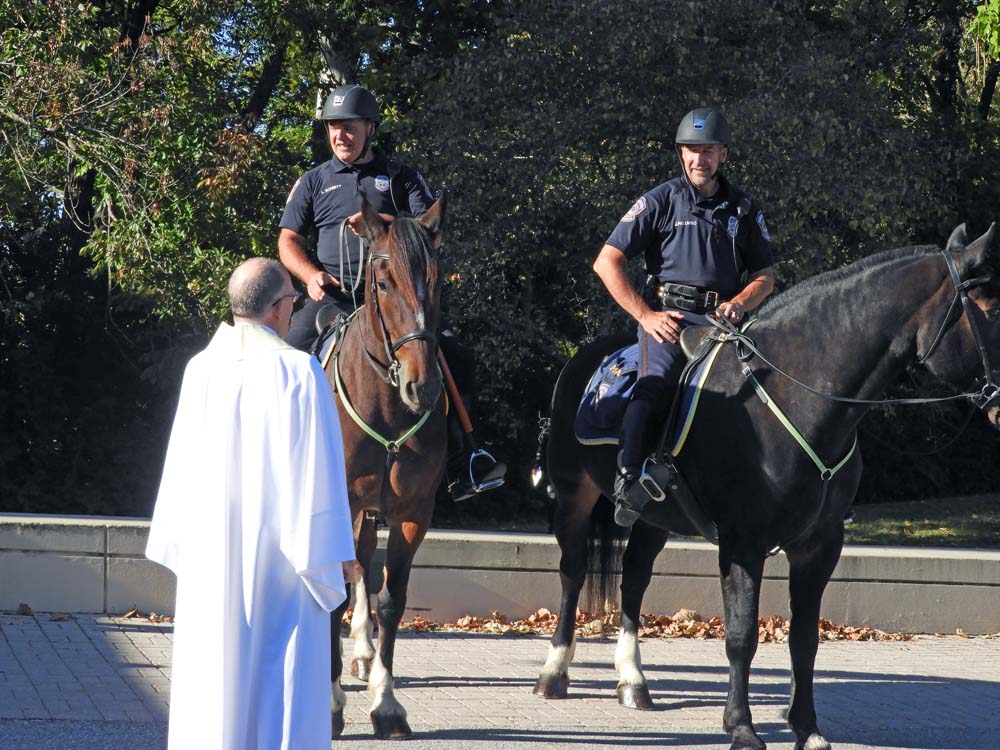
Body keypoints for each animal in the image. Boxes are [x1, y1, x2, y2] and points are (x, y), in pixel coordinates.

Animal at [533, 223, 1000, 750]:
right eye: (992, 310)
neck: (794, 395)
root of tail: (582, 361)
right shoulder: (743, 542)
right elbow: (741, 636)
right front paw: (741, 727)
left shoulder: (820, 545)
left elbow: (805, 639)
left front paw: (807, 728)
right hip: (573, 496)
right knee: (573, 571)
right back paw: (554, 671)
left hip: (654, 517)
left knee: (633, 577)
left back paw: (632, 680)